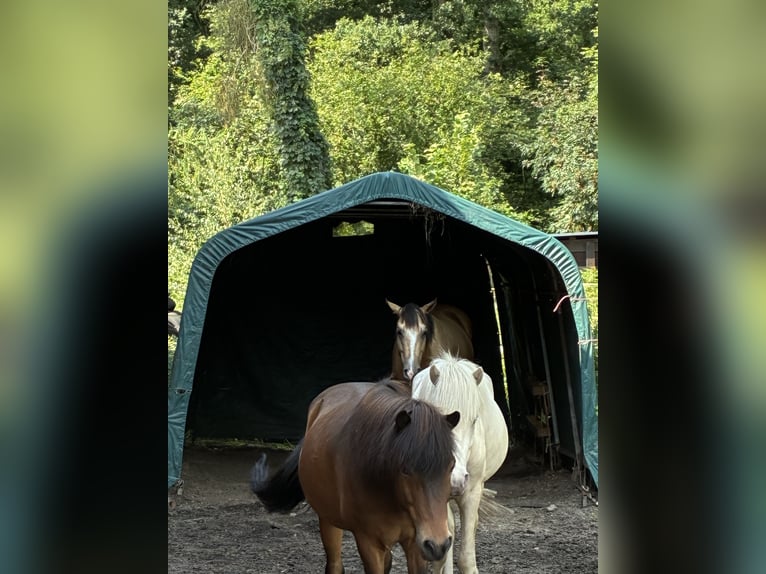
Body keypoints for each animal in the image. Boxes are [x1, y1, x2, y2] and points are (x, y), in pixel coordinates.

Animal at [250, 380, 461, 574]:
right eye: (405, 469)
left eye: (451, 465)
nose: (438, 544)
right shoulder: (369, 543)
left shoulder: (414, 544)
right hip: (328, 520)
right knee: (335, 564)